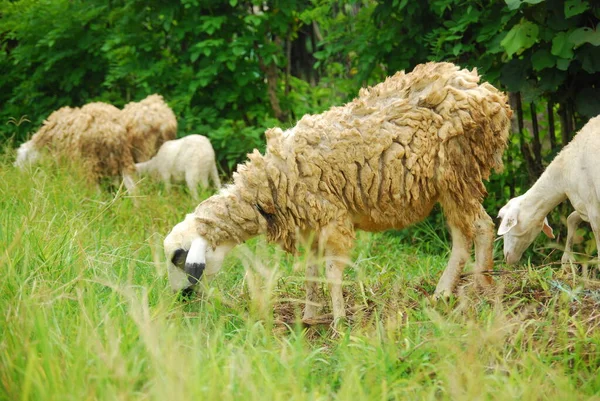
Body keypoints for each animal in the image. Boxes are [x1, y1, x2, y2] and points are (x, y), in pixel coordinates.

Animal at [163, 62, 510, 322]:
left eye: (178, 259)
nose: (180, 299)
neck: (271, 182)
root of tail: (488, 92)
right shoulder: (309, 226)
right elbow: (311, 271)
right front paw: (309, 316)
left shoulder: (333, 219)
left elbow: (331, 272)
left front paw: (340, 321)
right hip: (449, 185)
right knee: (461, 236)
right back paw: (443, 294)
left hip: (459, 172)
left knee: (481, 227)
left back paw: (482, 288)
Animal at [496, 114, 600, 268]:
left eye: (505, 222)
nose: (507, 259)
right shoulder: (584, 204)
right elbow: (571, 218)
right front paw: (567, 262)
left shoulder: (591, 203)